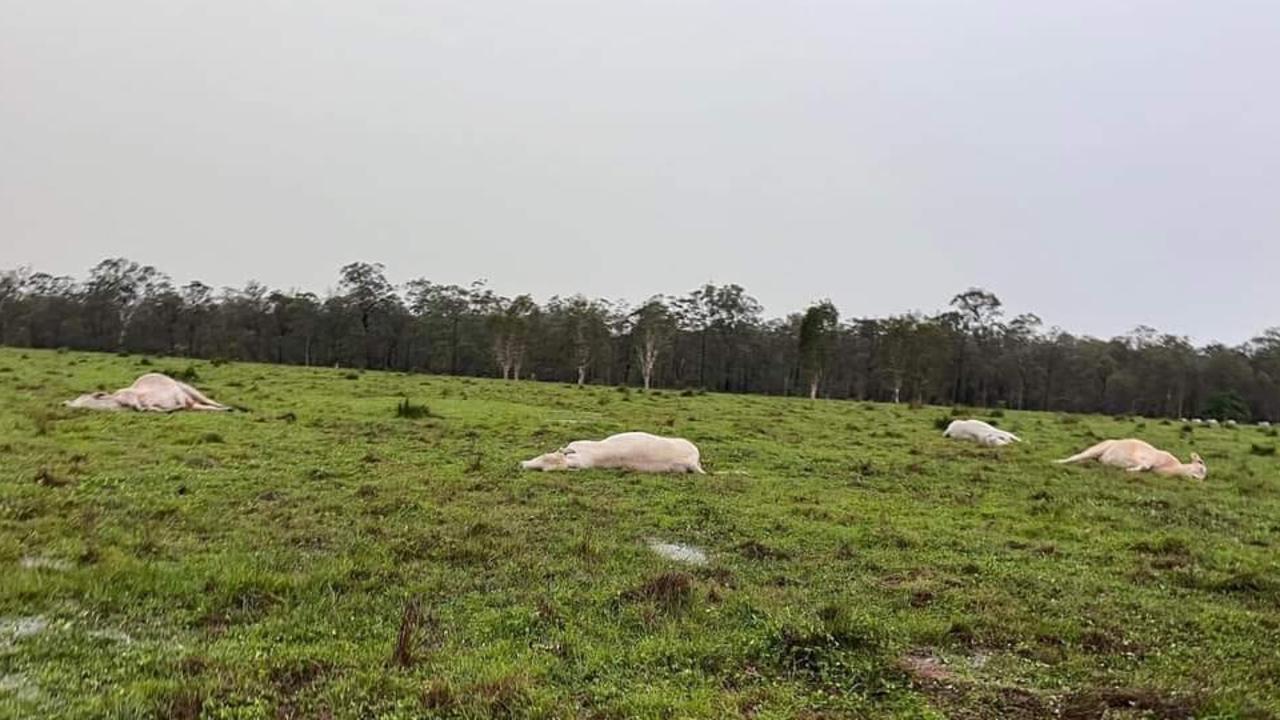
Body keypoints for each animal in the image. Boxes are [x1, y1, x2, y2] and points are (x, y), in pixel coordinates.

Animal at [1054, 435, 1203, 479]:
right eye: (1201, 465)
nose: (1198, 480)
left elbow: (1143, 467)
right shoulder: (1144, 457)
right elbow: (1143, 465)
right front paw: (1129, 469)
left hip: (1095, 456)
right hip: (1096, 449)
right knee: (1076, 456)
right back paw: (1058, 461)